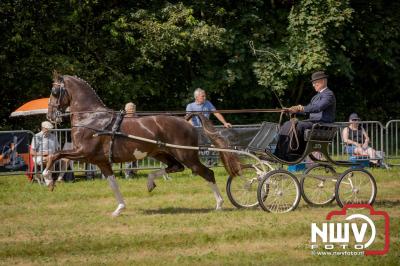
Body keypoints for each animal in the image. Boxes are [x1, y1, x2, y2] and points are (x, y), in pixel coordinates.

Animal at [46, 72, 241, 216]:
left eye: (54, 91)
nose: (50, 115)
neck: (91, 118)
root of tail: (185, 121)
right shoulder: (101, 162)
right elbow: (112, 183)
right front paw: (119, 209)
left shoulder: (83, 152)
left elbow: (55, 154)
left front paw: (48, 179)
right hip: (162, 153)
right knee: (176, 167)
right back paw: (150, 181)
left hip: (186, 155)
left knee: (206, 173)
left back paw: (219, 204)